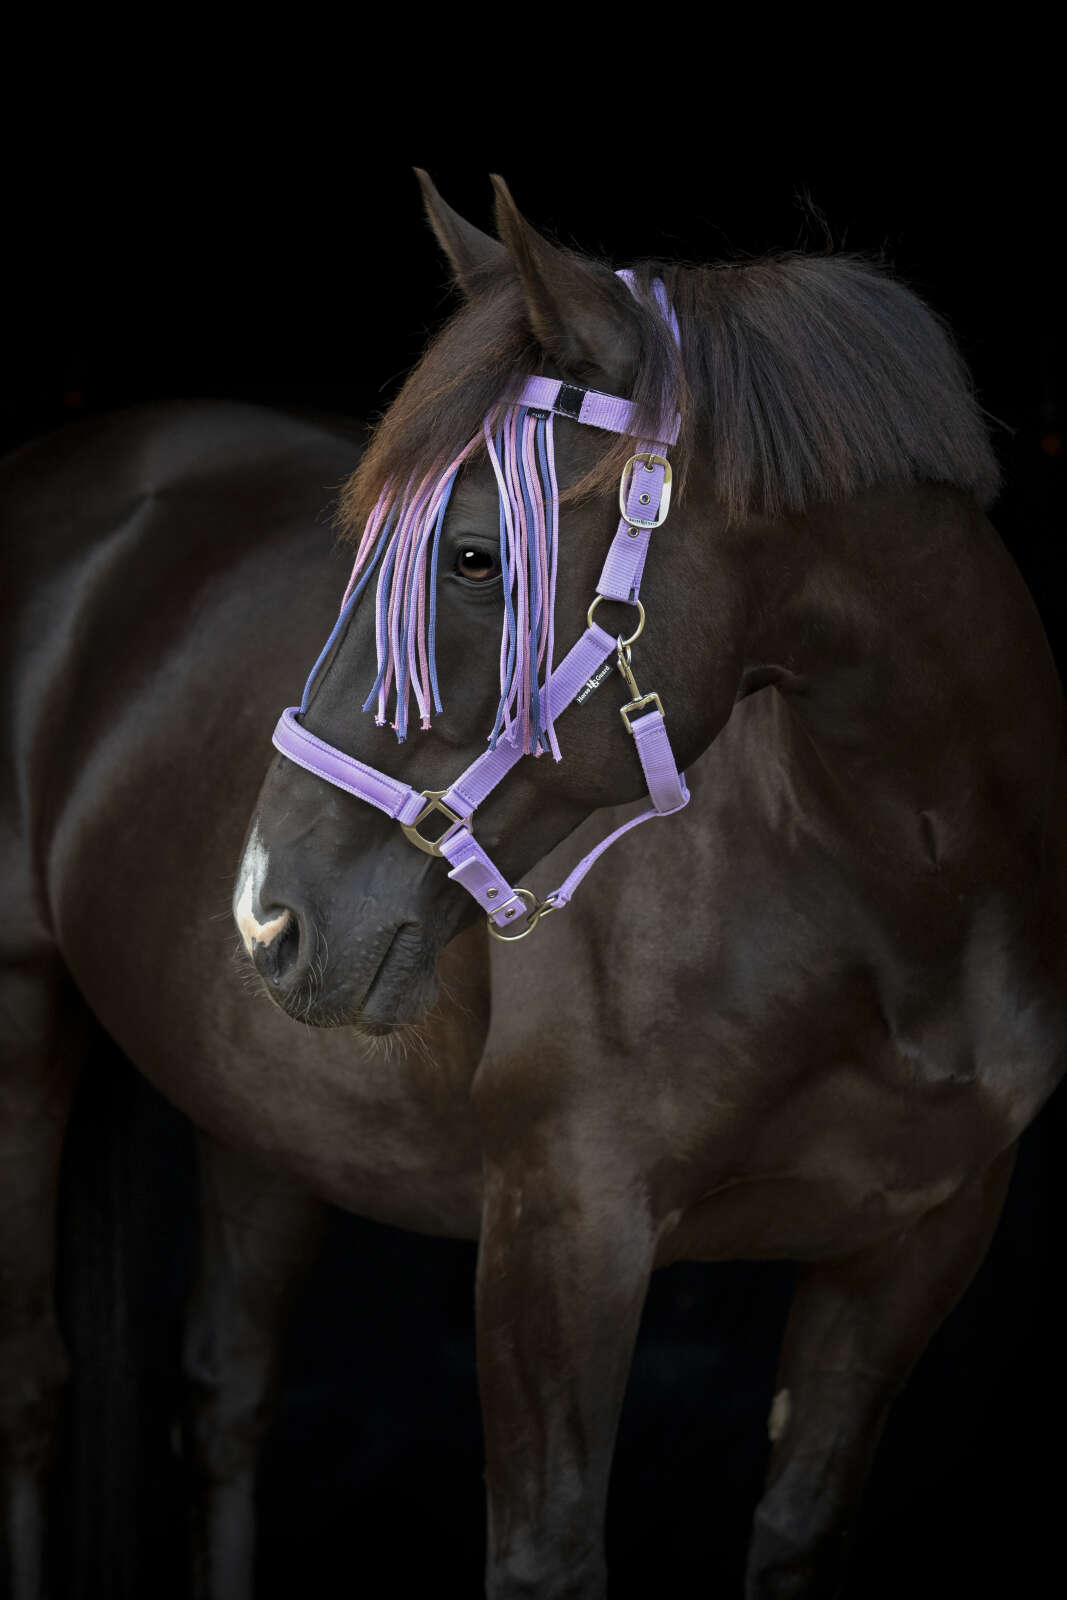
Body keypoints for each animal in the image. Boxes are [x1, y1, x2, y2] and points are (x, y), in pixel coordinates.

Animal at [236, 172, 1067, 1599]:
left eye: (472, 555)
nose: (263, 912)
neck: (910, 904)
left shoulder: (914, 1247)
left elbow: (797, 1524)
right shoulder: (557, 1234)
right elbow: (549, 1554)